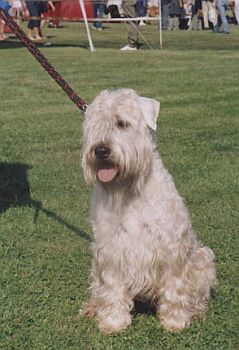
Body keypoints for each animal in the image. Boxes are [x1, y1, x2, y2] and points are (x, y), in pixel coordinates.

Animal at [81, 87, 217, 334]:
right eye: (94, 126)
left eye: (122, 123)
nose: (101, 150)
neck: (129, 191)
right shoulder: (110, 249)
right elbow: (112, 288)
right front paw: (113, 322)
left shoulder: (172, 249)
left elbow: (175, 288)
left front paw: (174, 321)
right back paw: (92, 307)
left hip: (203, 258)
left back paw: (196, 311)